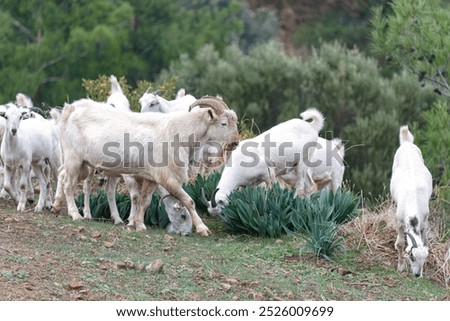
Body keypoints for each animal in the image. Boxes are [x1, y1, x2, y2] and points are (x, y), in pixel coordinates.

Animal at [54, 95, 237, 235]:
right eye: (223, 123)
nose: (235, 142)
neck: (180, 132)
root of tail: (70, 108)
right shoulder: (167, 177)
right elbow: (189, 201)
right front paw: (202, 228)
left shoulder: (151, 178)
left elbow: (145, 201)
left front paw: (139, 225)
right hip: (74, 158)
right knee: (68, 184)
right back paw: (75, 214)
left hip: (79, 162)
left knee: (62, 174)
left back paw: (56, 206)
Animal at [390, 125, 432, 278]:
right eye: (412, 256)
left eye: (425, 258)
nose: (417, 275)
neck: (413, 200)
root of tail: (407, 143)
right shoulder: (400, 221)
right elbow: (400, 243)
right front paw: (401, 267)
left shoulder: (424, 219)